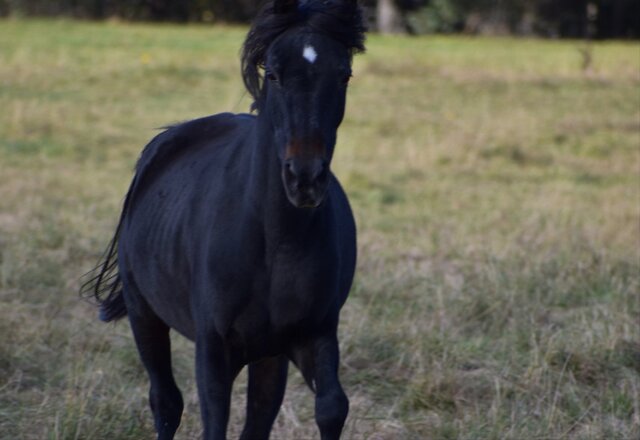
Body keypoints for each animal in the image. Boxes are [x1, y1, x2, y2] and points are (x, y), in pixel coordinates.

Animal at [81, 1, 366, 439]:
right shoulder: (215, 347)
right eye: (273, 73)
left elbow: (332, 406)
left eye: (344, 74)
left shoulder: (314, 332)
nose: (304, 178)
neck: (274, 241)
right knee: (166, 400)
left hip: (268, 355)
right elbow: (212, 420)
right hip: (144, 313)